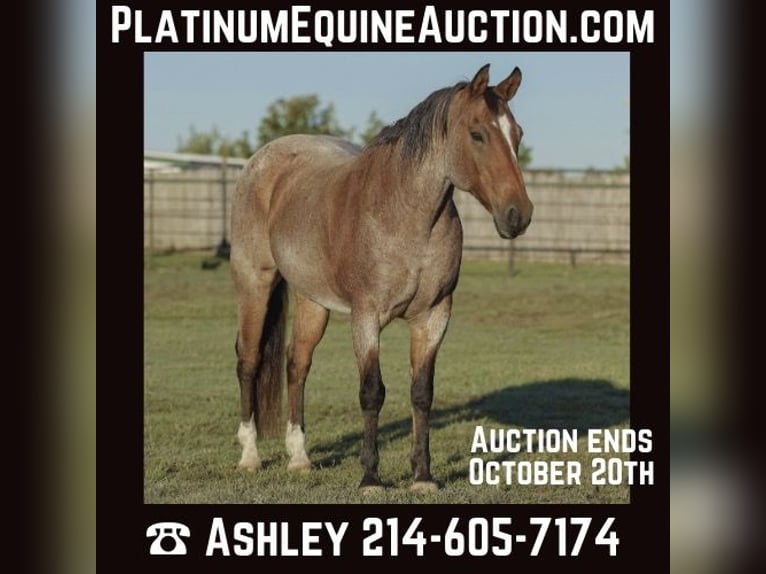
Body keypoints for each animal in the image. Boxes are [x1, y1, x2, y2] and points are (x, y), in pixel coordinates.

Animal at [230, 64, 533, 492]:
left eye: (517, 133)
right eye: (478, 134)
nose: (518, 214)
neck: (404, 215)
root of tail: (262, 160)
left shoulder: (433, 316)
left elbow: (422, 393)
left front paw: (423, 476)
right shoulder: (366, 317)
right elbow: (372, 392)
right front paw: (371, 477)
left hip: (312, 300)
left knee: (296, 365)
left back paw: (300, 458)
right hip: (254, 284)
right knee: (249, 361)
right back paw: (250, 456)